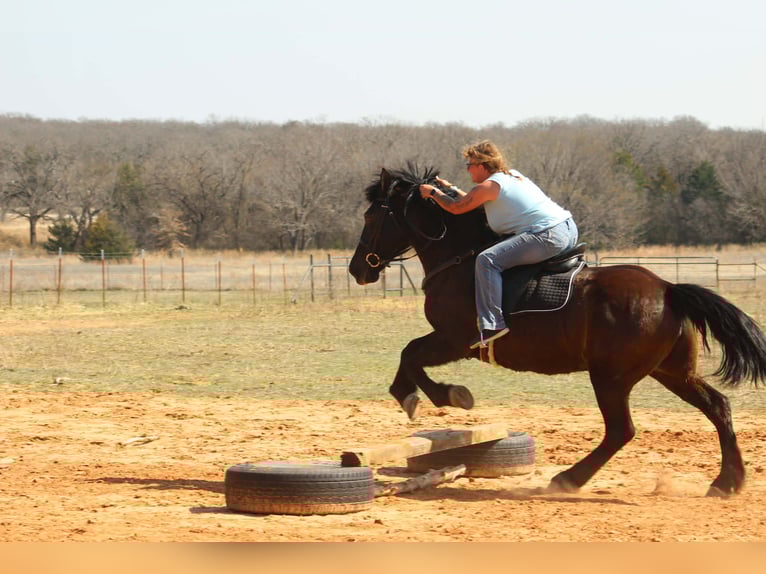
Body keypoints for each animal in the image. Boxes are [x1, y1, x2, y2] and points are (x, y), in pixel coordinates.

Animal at [348, 164, 766, 497]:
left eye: (371, 217)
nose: (357, 269)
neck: (458, 258)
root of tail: (668, 289)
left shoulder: (456, 340)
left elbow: (411, 355)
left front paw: (441, 396)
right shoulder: (451, 342)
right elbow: (409, 356)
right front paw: (416, 395)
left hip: (612, 376)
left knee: (622, 430)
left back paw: (568, 479)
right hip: (672, 371)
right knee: (718, 407)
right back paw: (727, 482)